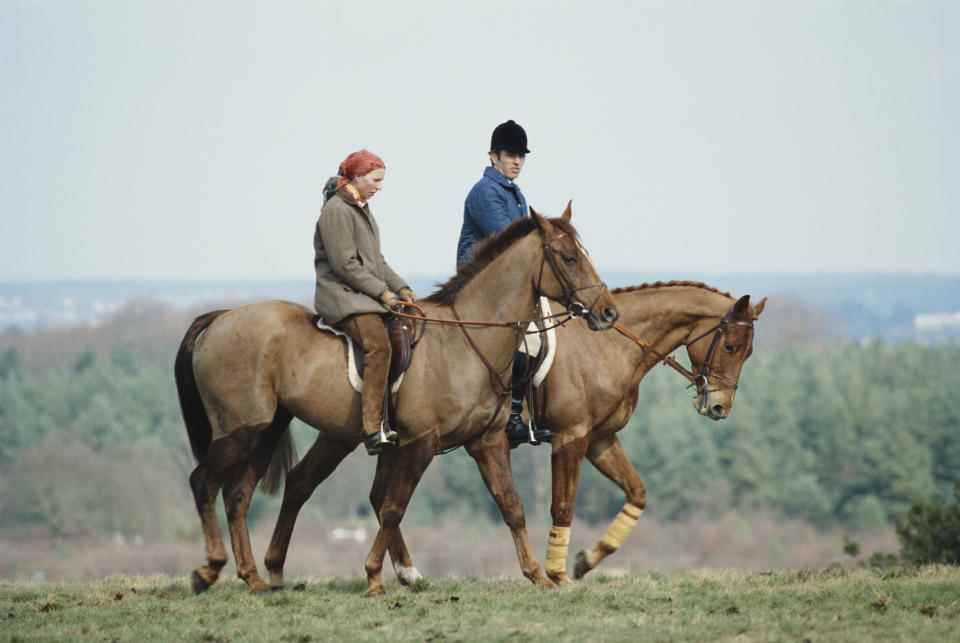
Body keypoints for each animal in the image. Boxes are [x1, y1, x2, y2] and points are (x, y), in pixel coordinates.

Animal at [175, 209, 620, 596]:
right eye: (568, 258)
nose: (607, 312)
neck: (467, 340)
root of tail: (220, 317)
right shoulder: (420, 443)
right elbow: (393, 507)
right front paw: (375, 575)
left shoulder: (487, 442)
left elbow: (511, 505)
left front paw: (537, 575)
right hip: (241, 431)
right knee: (204, 483)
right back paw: (209, 570)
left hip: (269, 431)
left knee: (245, 493)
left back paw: (256, 576)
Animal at [268, 280, 764, 592]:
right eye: (732, 345)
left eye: (747, 351)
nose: (719, 408)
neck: (609, 346)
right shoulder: (571, 438)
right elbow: (562, 505)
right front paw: (559, 571)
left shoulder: (601, 440)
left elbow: (638, 493)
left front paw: (586, 560)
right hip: (353, 436)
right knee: (326, 487)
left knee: (354, 492)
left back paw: (404, 573)